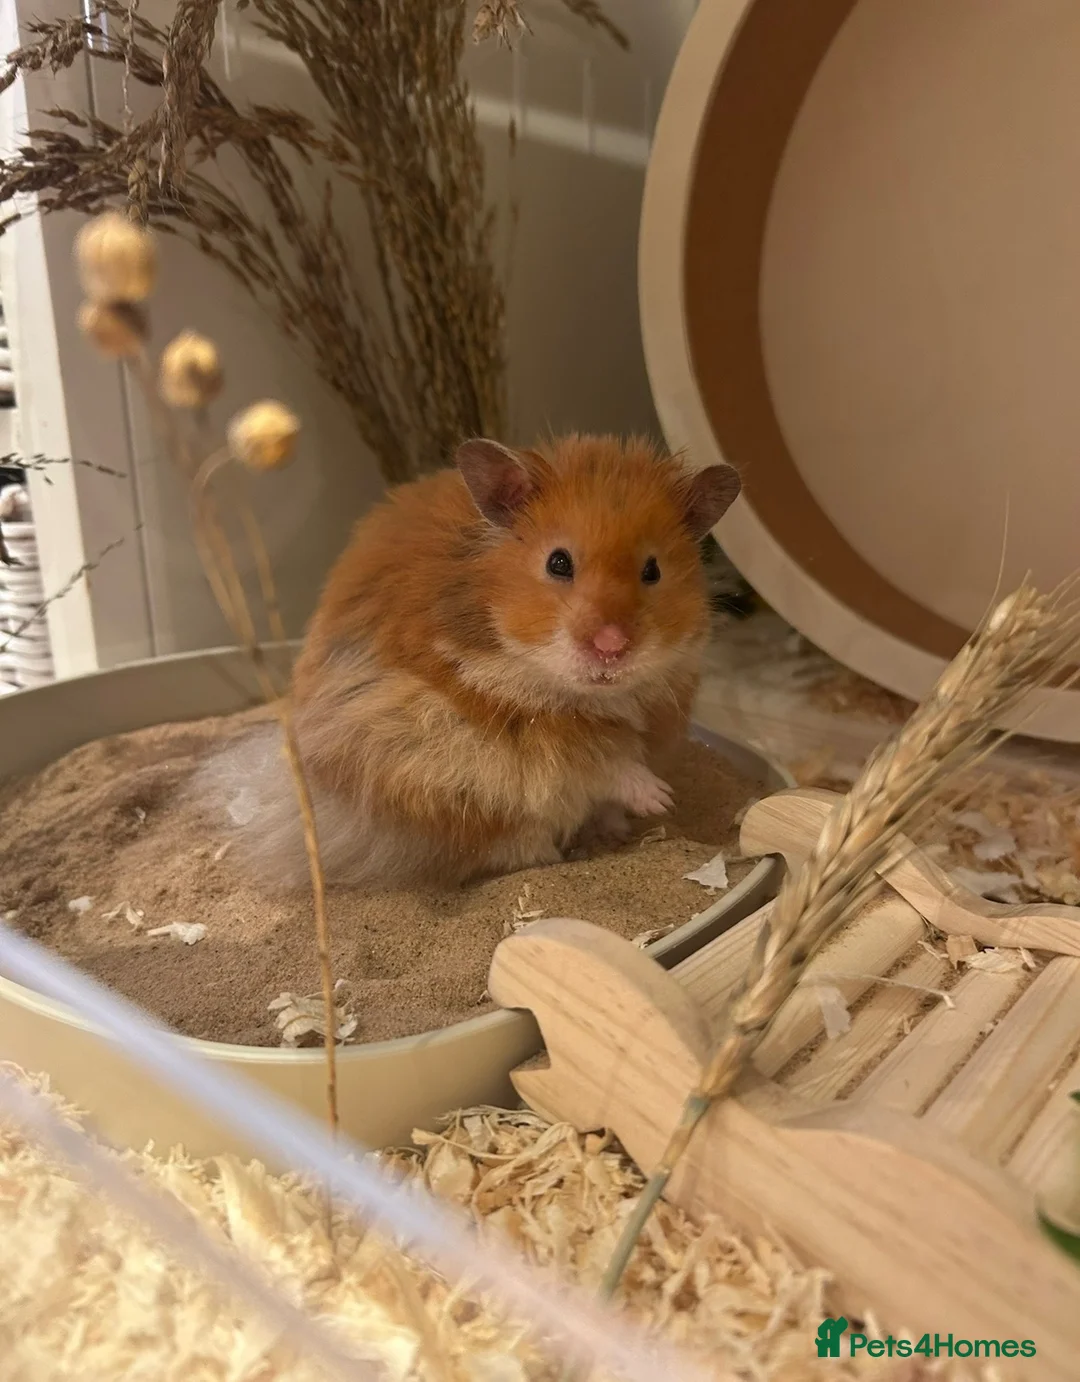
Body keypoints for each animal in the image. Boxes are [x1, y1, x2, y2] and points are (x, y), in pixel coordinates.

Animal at [202, 433, 740, 891]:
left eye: (652, 570)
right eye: (558, 562)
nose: (611, 647)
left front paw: (646, 809)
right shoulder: (527, 737)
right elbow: (605, 764)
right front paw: (660, 797)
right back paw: (563, 855)